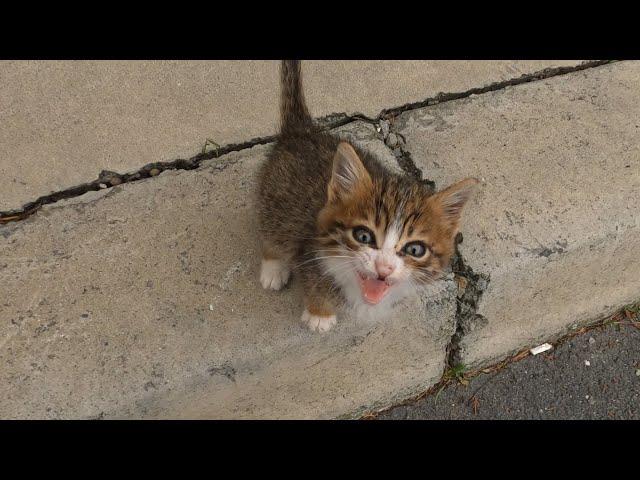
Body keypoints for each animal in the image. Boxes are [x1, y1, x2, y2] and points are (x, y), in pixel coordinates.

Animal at [258, 59, 478, 334]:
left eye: (415, 249)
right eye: (363, 236)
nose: (383, 269)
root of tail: (302, 130)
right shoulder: (309, 250)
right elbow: (315, 282)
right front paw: (320, 315)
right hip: (276, 199)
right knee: (271, 229)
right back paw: (273, 267)